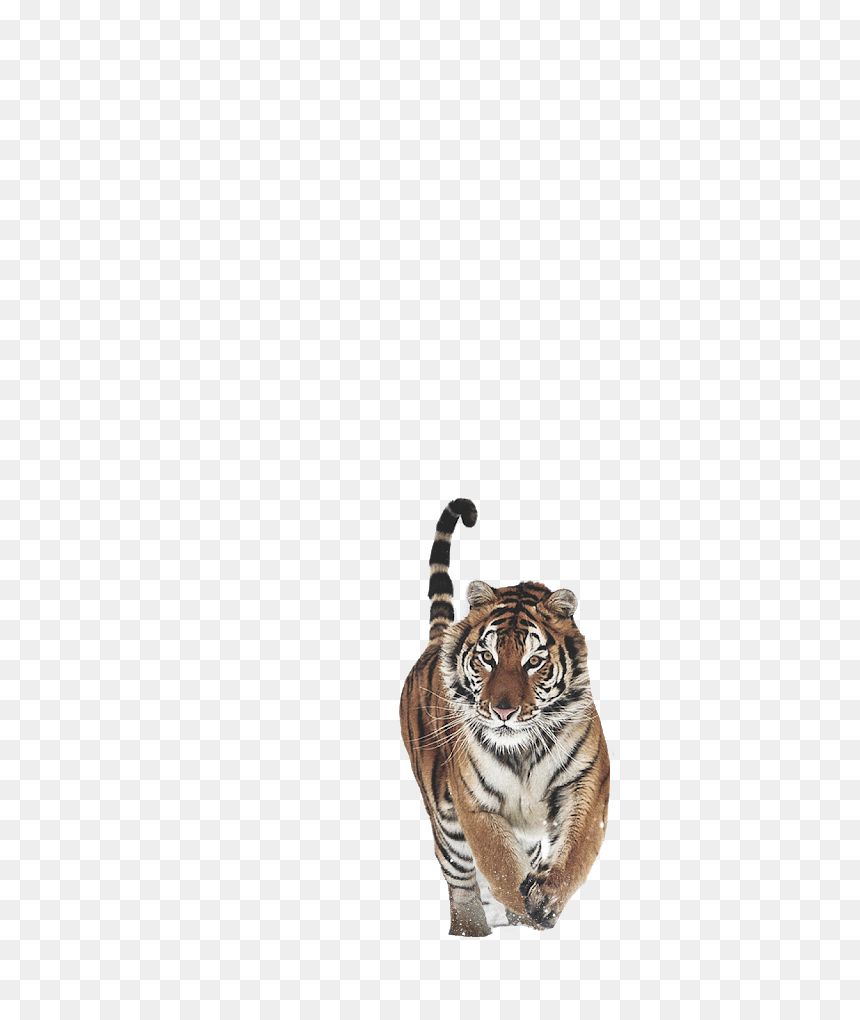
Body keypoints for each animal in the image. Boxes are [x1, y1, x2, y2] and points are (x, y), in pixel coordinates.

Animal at [399, 498, 610, 937]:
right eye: (487, 656)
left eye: (534, 661)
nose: (503, 710)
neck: (523, 748)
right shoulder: (474, 804)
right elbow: (499, 864)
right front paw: (528, 906)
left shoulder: (586, 782)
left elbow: (576, 851)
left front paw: (545, 900)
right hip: (445, 820)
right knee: (462, 883)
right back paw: (473, 931)